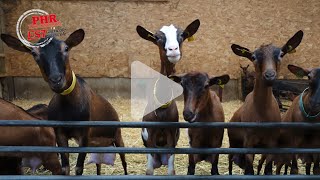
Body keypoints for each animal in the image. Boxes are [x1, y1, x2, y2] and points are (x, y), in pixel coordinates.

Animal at [0, 29, 127, 176]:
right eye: (34, 53)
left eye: (66, 48)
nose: (56, 80)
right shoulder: (60, 133)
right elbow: (65, 168)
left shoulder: (84, 134)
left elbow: (78, 168)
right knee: (98, 164)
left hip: (117, 135)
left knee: (123, 160)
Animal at [136, 19, 200, 174]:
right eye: (157, 38)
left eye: (182, 35)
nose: (173, 49)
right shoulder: (150, 135)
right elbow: (149, 171)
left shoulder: (172, 134)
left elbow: (171, 171)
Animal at [229, 30, 304, 175]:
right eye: (253, 57)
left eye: (281, 54)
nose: (269, 75)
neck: (262, 114)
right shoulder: (249, 143)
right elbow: (249, 171)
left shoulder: (271, 144)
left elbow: (268, 170)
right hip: (233, 142)